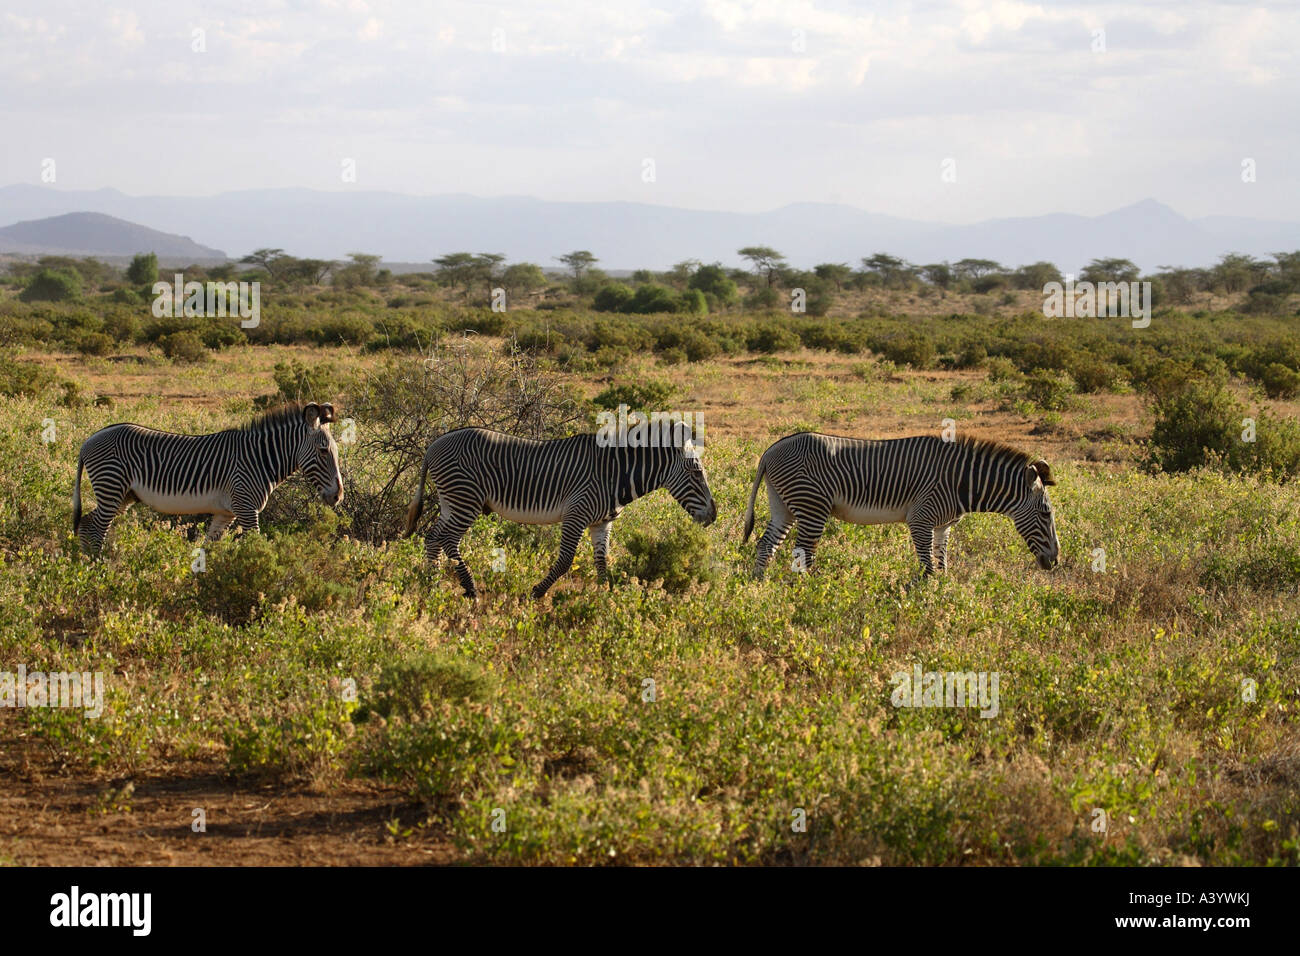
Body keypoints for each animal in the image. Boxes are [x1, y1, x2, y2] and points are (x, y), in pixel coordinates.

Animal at [73, 402, 344, 555]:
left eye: (336, 451)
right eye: (323, 451)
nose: (338, 496)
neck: (258, 459)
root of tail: (88, 440)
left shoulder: (226, 513)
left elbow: (208, 548)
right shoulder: (246, 508)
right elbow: (256, 546)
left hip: (123, 495)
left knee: (86, 523)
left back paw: (83, 564)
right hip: (111, 487)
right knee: (96, 529)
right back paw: (98, 569)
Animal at [403, 423, 717, 599]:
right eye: (696, 473)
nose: (714, 516)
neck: (614, 474)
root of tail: (434, 444)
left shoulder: (602, 523)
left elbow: (602, 561)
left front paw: (606, 597)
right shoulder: (575, 515)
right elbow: (566, 559)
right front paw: (536, 593)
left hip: (451, 501)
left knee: (433, 538)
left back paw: (430, 583)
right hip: (465, 499)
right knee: (448, 539)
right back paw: (470, 589)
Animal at [742, 432, 1060, 577]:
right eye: (1046, 514)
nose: (1055, 561)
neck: (961, 481)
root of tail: (770, 450)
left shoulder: (943, 527)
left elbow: (942, 565)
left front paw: (943, 595)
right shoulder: (921, 518)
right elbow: (928, 568)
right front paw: (924, 603)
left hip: (783, 504)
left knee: (766, 544)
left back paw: (761, 586)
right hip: (812, 506)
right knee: (804, 553)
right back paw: (809, 590)